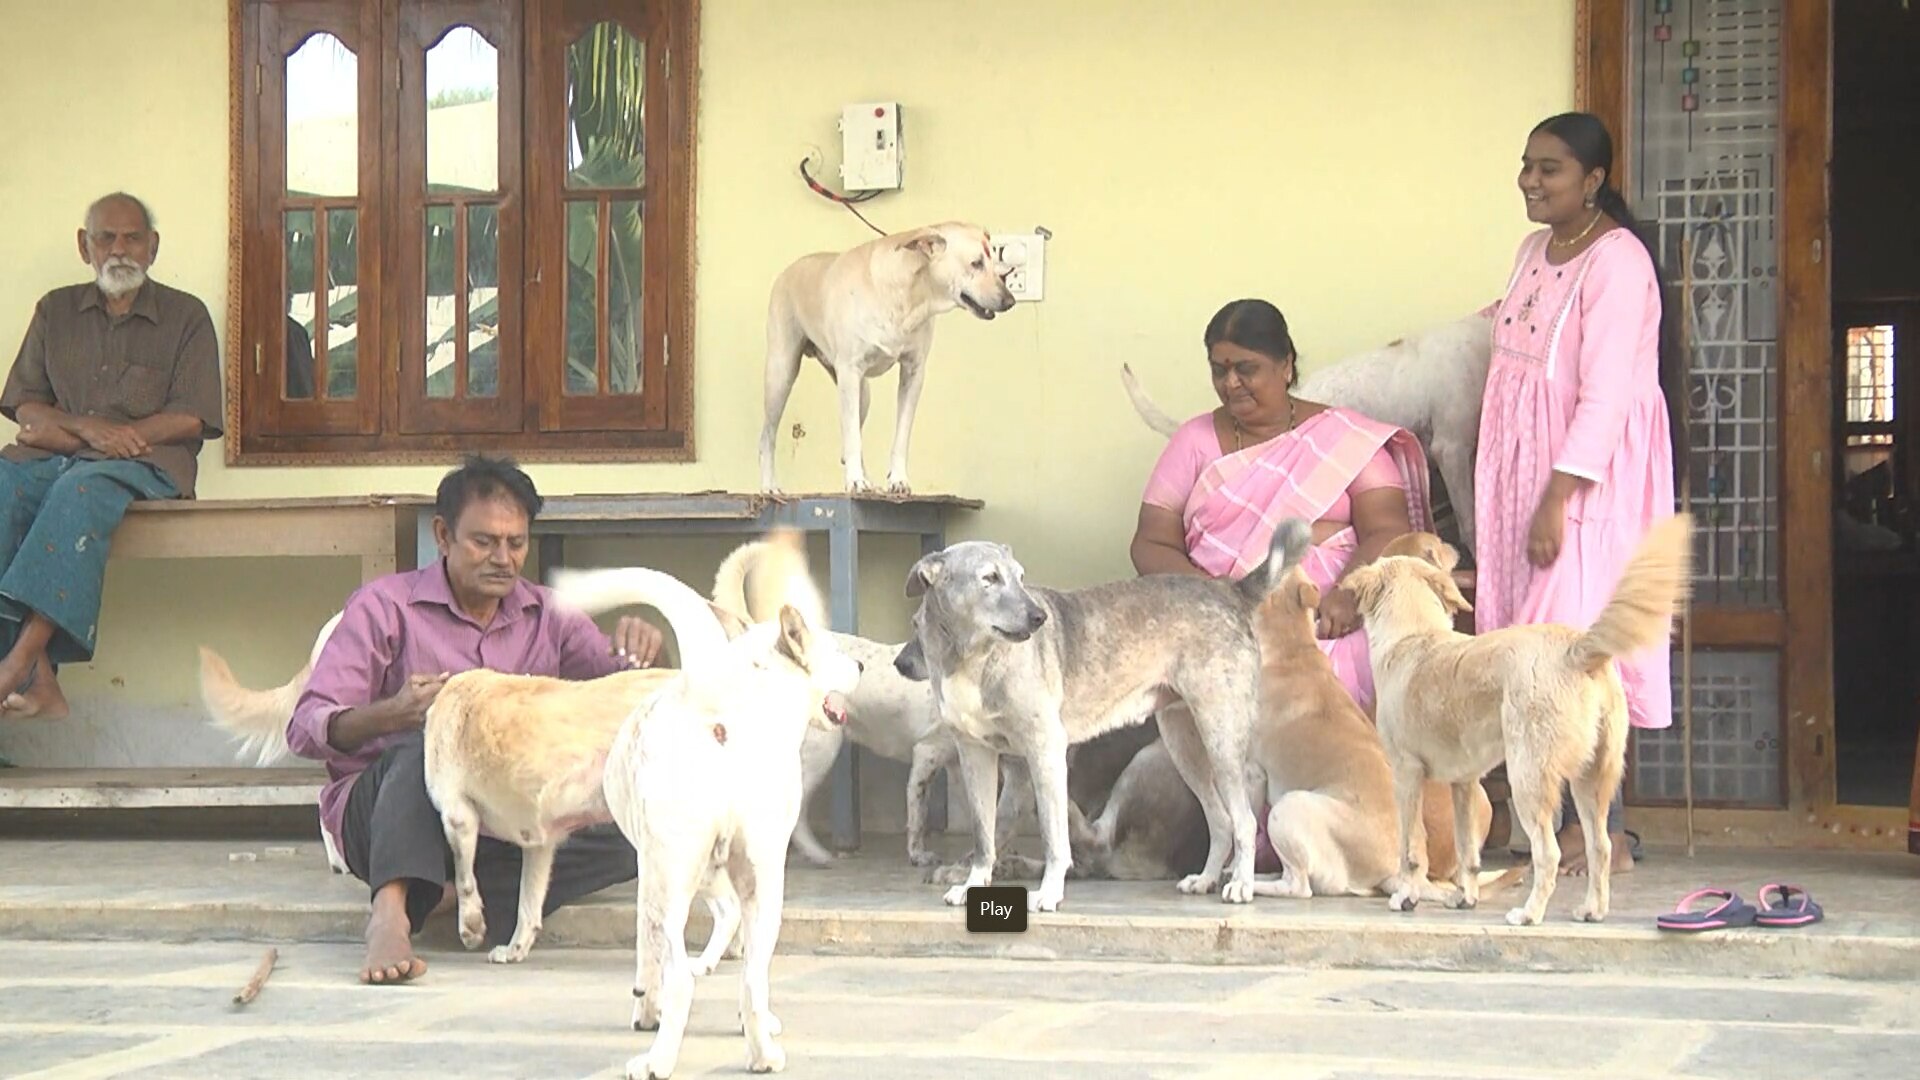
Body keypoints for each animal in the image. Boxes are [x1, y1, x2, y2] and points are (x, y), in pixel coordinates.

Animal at [756, 222, 1021, 491]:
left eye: (995, 263)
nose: (1010, 301)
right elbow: (852, 436)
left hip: (863, 394)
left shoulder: (913, 373)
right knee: (768, 435)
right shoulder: (850, 370)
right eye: (976, 263)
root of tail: (789, 269)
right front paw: (854, 480)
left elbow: (899, 435)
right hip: (782, 373)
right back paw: (769, 485)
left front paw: (897, 479)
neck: (907, 295)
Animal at [890, 522, 1313, 907]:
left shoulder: (1043, 753)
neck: (972, 657)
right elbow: (984, 836)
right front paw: (972, 884)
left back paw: (1240, 884)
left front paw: (1049, 894)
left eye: (1021, 578)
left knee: (1243, 820)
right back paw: (1205, 879)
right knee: (1221, 820)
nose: (1039, 618)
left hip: (1218, 738)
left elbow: (1053, 838)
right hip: (1183, 744)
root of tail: (1227, 590)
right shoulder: (975, 754)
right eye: (989, 579)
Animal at [1344, 511, 1689, 926]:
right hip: (1590, 780)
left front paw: (1405, 898)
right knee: (1600, 846)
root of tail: (1576, 648)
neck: (1414, 635)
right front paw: (1466, 898)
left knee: (1549, 854)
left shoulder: (1406, 774)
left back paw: (1529, 914)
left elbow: (1410, 851)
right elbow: (1468, 853)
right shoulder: (1464, 783)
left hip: (1528, 778)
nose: (1458, 546)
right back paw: (1591, 909)